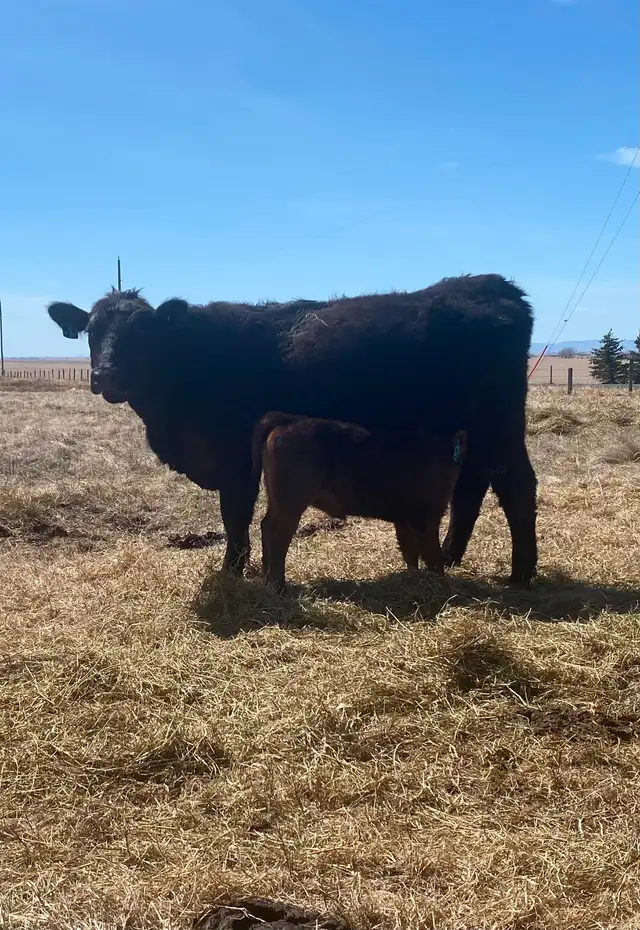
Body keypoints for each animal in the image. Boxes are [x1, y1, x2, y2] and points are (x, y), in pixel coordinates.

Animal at [253, 411, 468, 593]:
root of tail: (288, 420)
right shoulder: (427, 515)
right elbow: (433, 557)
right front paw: (443, 588)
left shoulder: (405, 518)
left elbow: (410, 553)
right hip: (291, 500)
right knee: (277, 535)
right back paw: (279, 588)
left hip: (278, 500)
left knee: (266, 527)